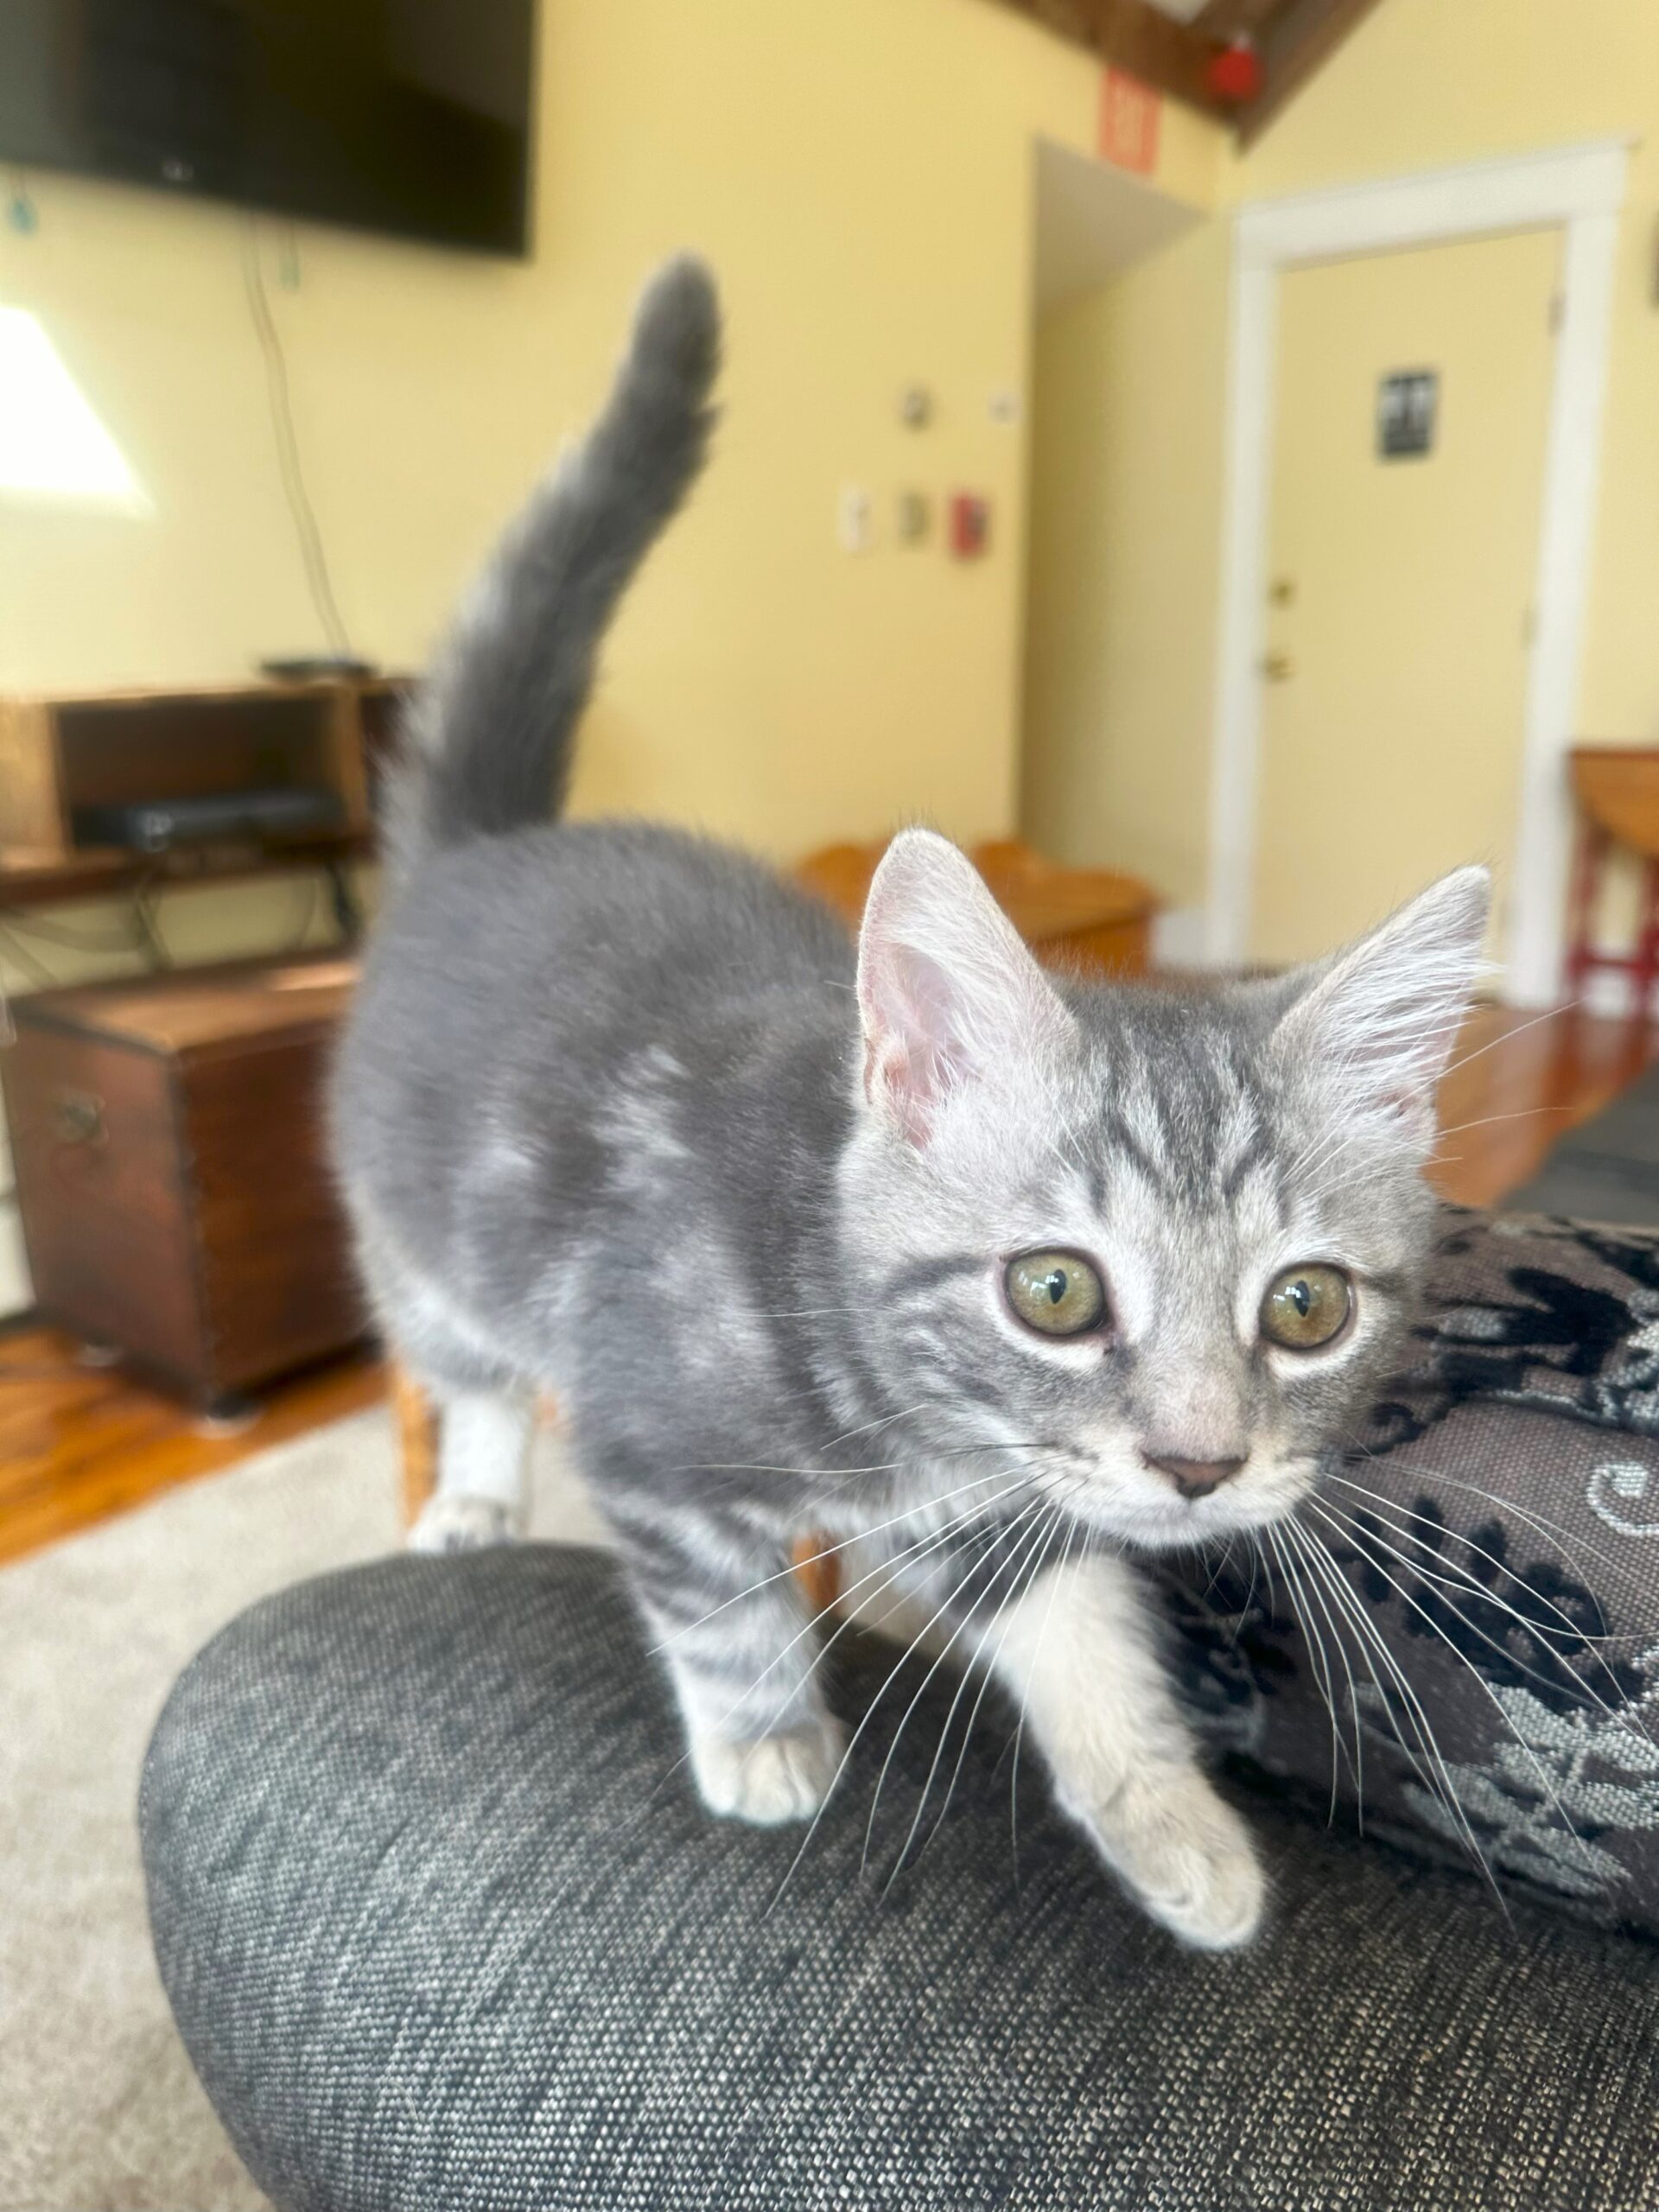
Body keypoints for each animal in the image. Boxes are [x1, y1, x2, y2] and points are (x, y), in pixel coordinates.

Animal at [332, 256, 1488, 1950]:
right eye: (1056, 1291)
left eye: (1308, 1307)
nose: (1202, 1468)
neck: (899, 1401)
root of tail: (489, 851)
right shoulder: (650, 1440)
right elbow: (722, 1600)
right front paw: (763, 1737)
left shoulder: (1003, 1510)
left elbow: (1077, 1625)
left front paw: (1174, 1825)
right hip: (419, 1243)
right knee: (464, 1369)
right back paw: (476, 1497)